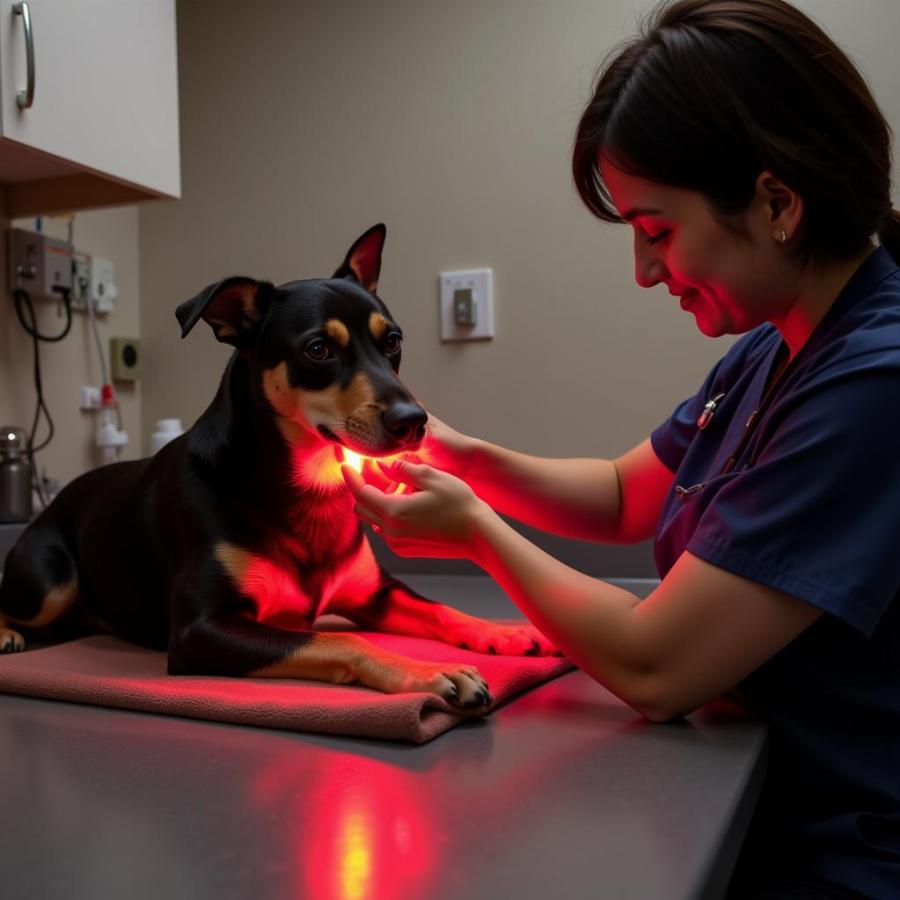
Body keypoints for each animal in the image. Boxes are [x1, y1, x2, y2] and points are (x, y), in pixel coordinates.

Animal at [0, 225, 556, 712]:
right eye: (318, 349)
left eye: (393, 341)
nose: (413, 421)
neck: (306, 481)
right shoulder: (202, 629)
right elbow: (340, 642)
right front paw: (433, 672)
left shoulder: (375, 594)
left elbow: (439, 608)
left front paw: (501, 631)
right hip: (49, 579)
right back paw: (9, 635)